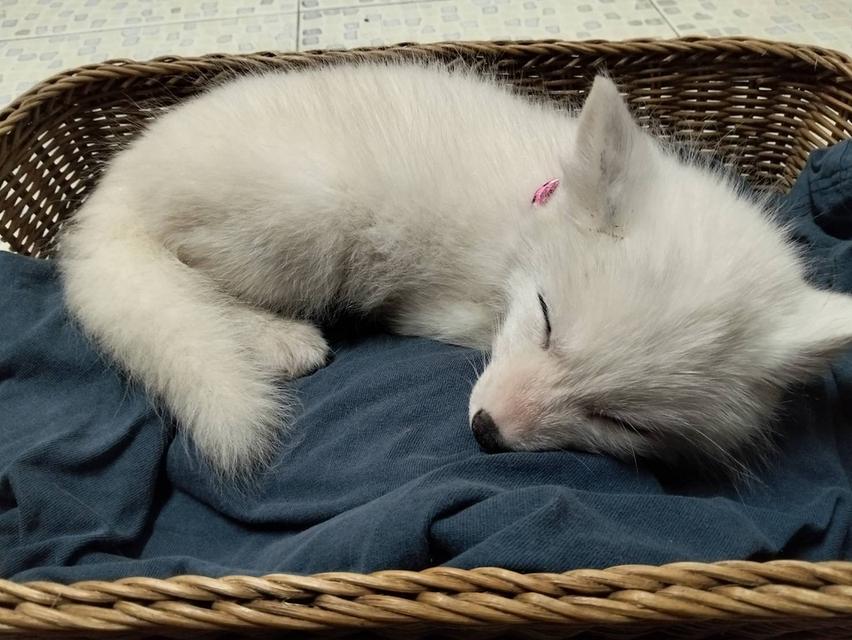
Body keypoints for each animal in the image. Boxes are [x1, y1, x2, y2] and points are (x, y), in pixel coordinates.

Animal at [58, 62, 852, 480]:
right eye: (547, 321)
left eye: (620, 420)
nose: (486, 433)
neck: (529, 209)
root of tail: (110, 191)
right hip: (304, 212)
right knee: (187, 279)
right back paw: (278, 340)